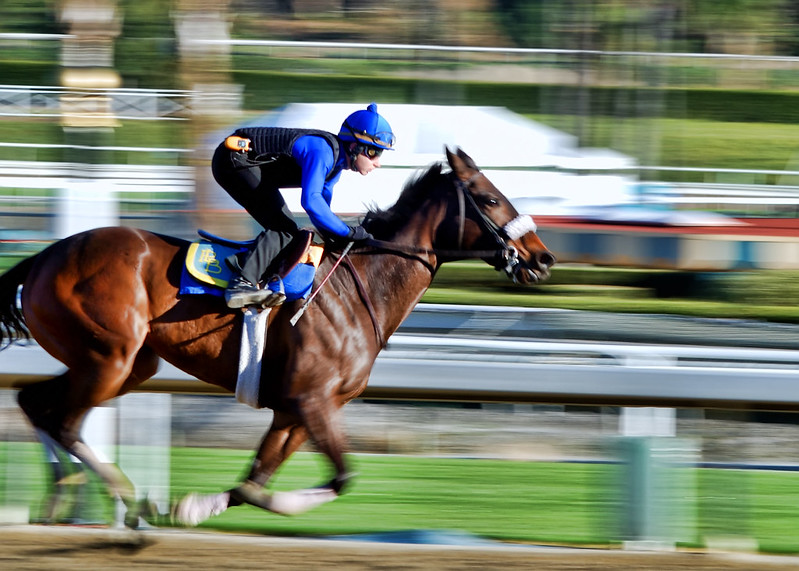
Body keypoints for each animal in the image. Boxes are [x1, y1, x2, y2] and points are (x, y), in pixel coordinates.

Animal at [0, 147, 555, 528]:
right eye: (491, 198)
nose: (542, 256)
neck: (360, 289)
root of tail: (45, 255)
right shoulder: (312, 400)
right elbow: (337, 477)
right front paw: (195, 505)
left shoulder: (295, 411)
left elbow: (254, 482)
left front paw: (192, 506)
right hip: (110, 356)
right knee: (63, 420)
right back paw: (123, 499)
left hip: (125, 363)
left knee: (36, 403)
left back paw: (61, 498)